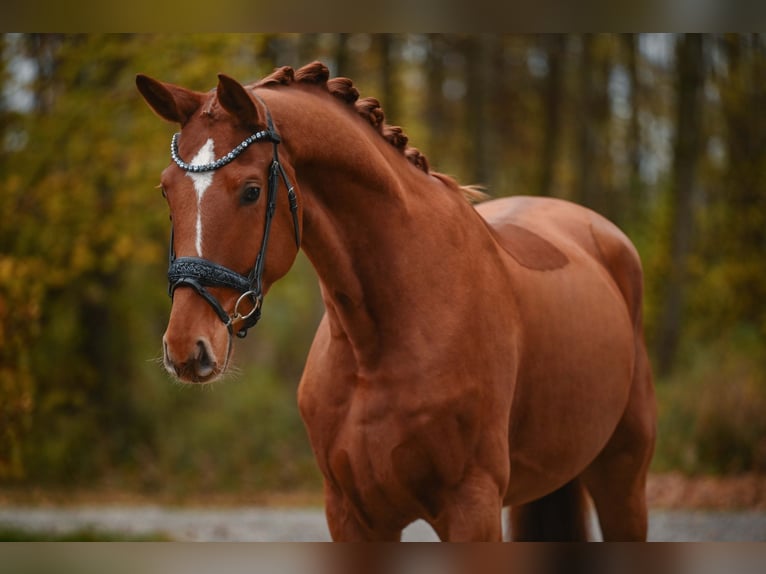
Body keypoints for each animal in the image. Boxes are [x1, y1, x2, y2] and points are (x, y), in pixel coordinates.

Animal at [136, 63, 656, 544]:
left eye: (251, 191)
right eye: (165, 190)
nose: (186, 347)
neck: (383, 340)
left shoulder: (472, 509)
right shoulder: (353, 516)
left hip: (622, 479)